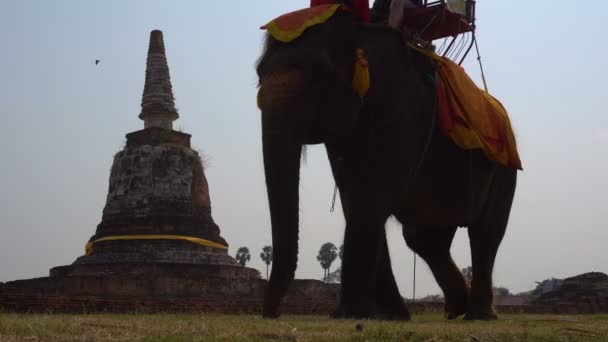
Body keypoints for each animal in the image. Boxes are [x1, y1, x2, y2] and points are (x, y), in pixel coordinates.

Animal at [256, 10, 516, 320]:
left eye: (320, 76)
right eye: (258, 75)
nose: (271, 314)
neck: (359, 32)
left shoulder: (401, 112)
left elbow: (368, 198)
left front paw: (351, 314)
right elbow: (354, 198)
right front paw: (391, 315)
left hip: (503, 167)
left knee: (484, 233)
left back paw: (478, 315)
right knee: (425, 238)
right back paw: (455, 311)